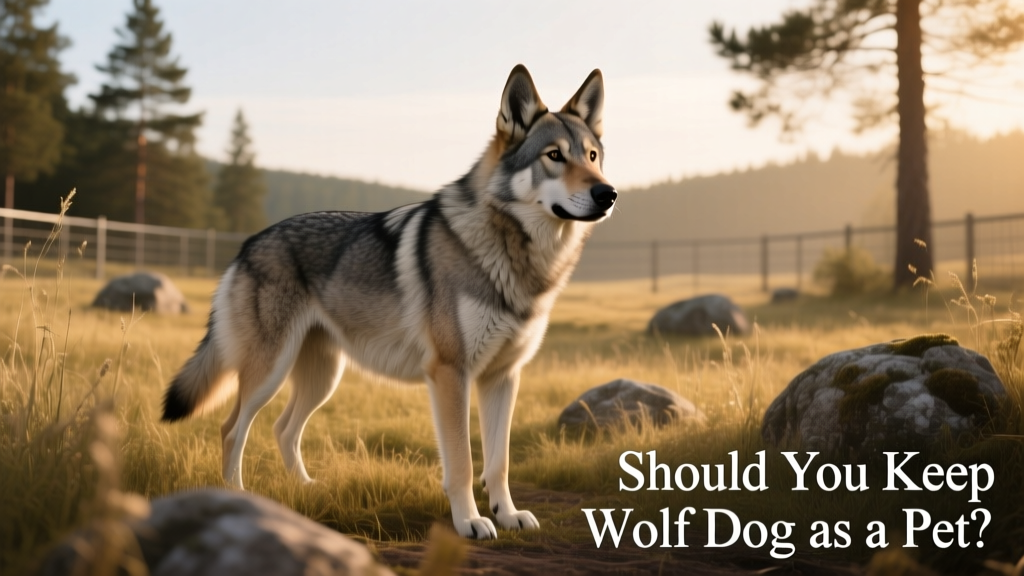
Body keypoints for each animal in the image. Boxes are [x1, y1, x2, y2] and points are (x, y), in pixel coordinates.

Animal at [161, 65, 616, 539]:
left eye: (592, 156)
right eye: (554, 155)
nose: (608, 194)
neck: (516, 256)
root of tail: (247, 244)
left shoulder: (503, 377)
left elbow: (499, 462)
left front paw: (507, 515)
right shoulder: (450, 374)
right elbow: (462, 464)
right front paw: (469, 522)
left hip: (323, 378)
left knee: (284, 430)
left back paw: (306, 489)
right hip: (269, 373)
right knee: (232, 430)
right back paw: (240, 497)